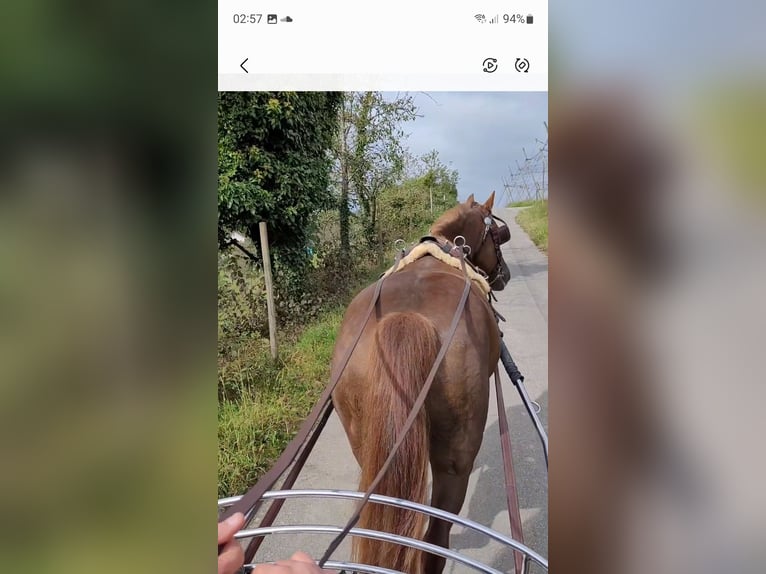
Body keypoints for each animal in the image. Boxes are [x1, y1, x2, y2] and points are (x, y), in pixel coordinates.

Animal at [328, 195, 510, 574]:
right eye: (498, 236)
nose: (504, 275)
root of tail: (407, 318)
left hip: (364, 440)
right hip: (455, 458)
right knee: (435, 538)